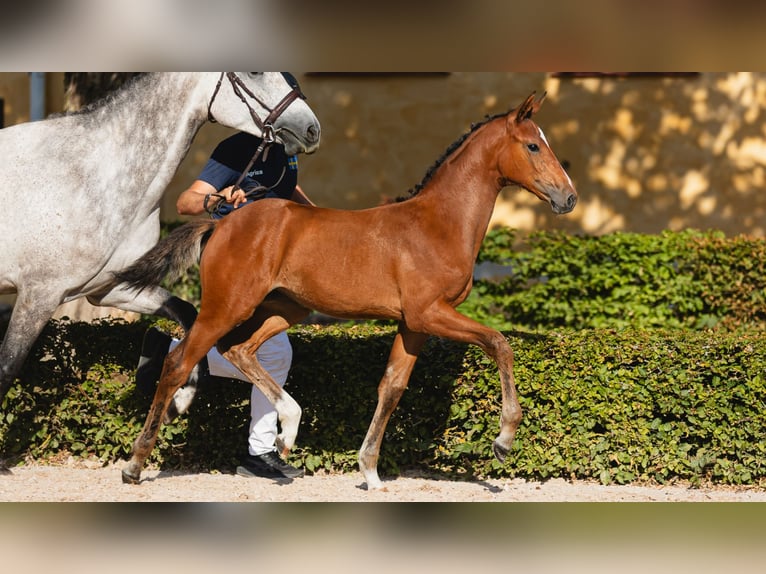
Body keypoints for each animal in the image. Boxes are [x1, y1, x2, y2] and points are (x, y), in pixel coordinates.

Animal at [0, 73, 321, 472]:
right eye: (254, 73)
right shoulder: (39, 294)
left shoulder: (108, 287)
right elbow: (7, 368)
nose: (311, 129)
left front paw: (178, 400)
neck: (91, 174)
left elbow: (186, 314)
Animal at [114, 91, 577, 490]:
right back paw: (137, 461)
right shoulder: (430, 312)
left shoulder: (413, 324)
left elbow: (391, 387)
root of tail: (222, 221)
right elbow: (499, 343)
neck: (438, 224)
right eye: (533, 146)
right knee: (180, 360)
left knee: (237, 351)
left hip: (283, 309)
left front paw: (370, 471)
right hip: (227, 305)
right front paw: (504, 440)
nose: (568, 198)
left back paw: (284, 430)